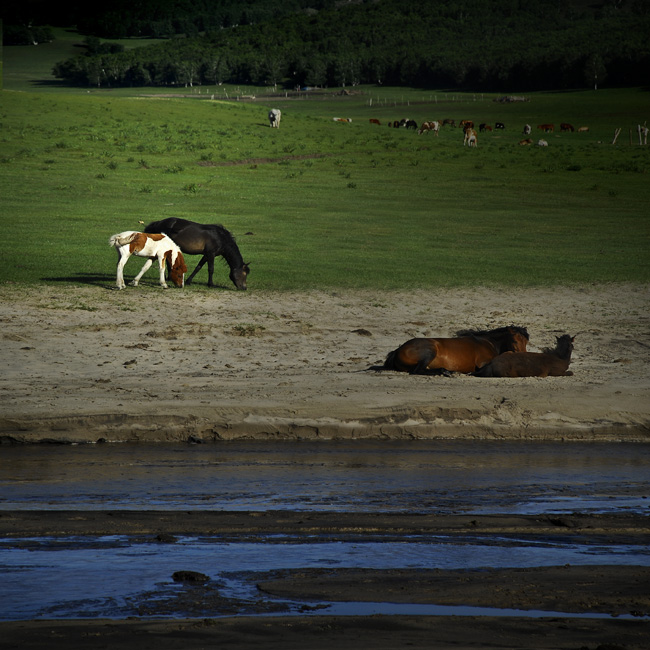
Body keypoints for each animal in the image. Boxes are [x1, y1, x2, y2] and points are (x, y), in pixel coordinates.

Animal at [380, 324, 528, 374]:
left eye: (526, 341)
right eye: (515, 341)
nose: (524, 357)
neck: (489, 343)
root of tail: (397, 350)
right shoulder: (483, 362)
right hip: (429, 351)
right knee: (418, 371)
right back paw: (445, 372)